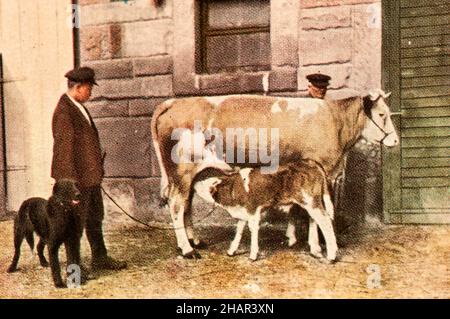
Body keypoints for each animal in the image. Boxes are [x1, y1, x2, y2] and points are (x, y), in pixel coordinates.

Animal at [195, 160, 336, 262]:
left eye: (205, 184)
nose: (194, 185)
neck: (234, 188)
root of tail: (311, 162)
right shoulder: (243, 212)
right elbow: (239, 230)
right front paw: (232, 250)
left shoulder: (253, 210)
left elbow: (252, 229)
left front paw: (253, 255)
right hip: (310, 203)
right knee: (314, 220)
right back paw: (315, 250)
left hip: (310, 201)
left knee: (326, 221)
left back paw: (332, 255)